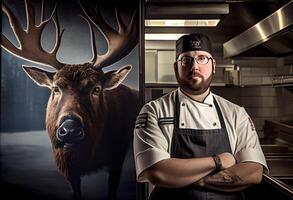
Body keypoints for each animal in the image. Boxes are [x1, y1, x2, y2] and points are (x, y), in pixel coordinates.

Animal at [1, 0, 139, 199]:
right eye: (55, 88)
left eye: (96, 89)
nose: (70, 129)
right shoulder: (67, 166)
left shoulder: (117, 155)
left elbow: (112, 189)